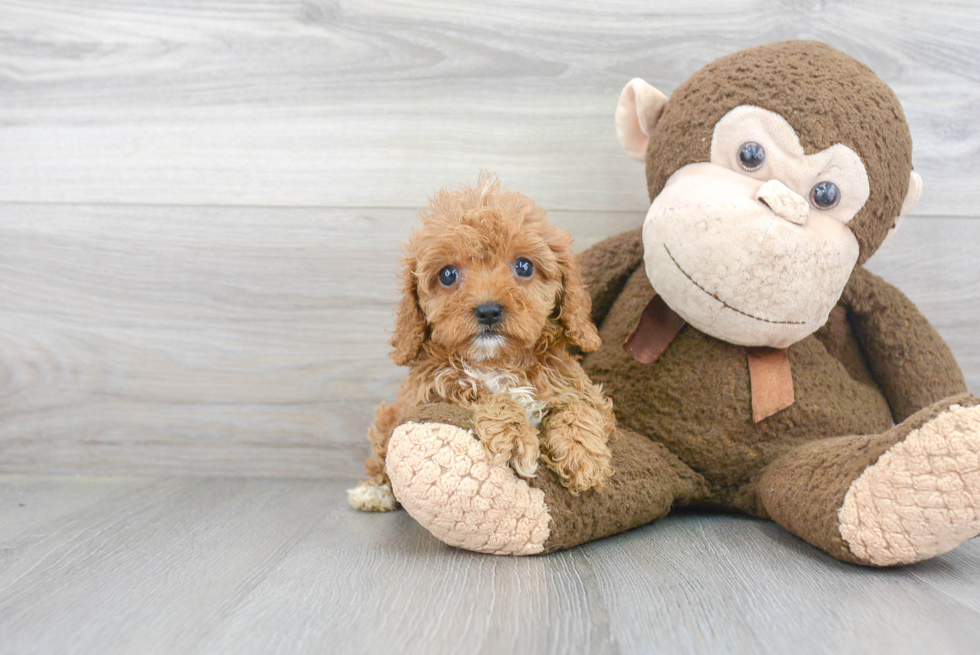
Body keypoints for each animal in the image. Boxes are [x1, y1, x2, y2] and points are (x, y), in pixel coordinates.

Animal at [348, 174, 616, 512]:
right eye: (448, 274)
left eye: (524, 267)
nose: (488, 310)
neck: (497, 361)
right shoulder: (427, 396)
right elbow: (481, 393)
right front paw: (514, 436)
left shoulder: (578, 388)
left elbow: (578, 408)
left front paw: (582, 454)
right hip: (389, 418)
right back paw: (374, 491)